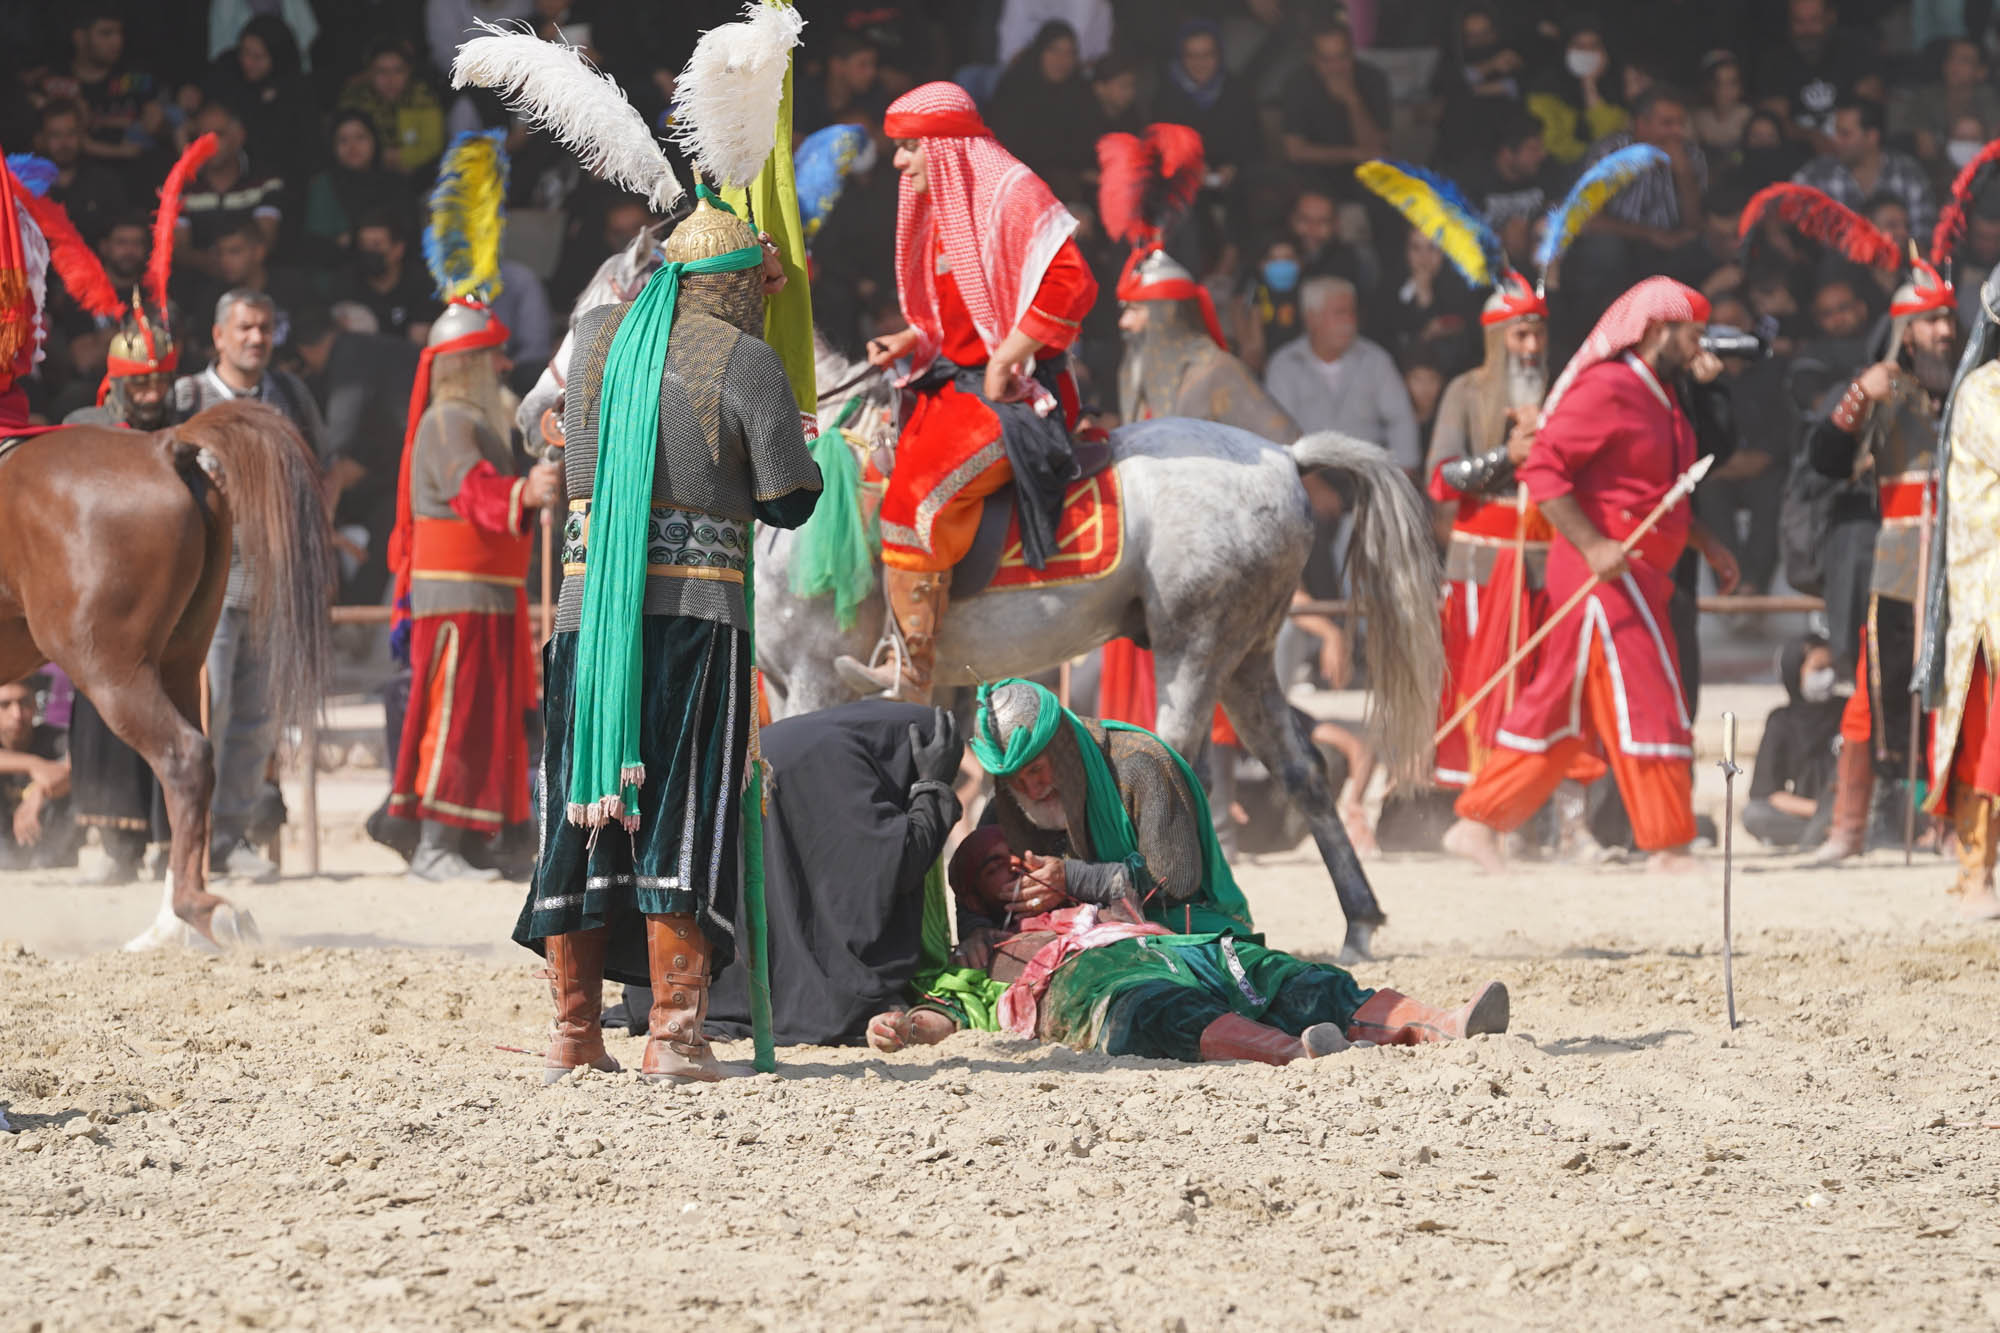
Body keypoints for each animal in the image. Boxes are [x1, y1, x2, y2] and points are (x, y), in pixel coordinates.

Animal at [752, 342, 1440, 956]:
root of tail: (1282, 457)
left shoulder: (816, 678)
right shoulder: (793, 686)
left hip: (1195, 644)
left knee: (1179, 753)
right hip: (1247, 655)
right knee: (1303, 773)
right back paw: (1358, 922)